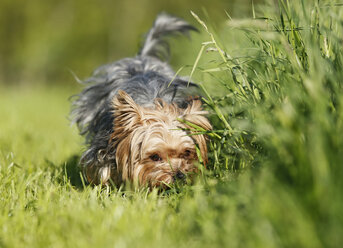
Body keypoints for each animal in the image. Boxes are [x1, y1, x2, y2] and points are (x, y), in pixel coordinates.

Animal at [71, 13, 212, 188]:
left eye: (186, 153)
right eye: (155, 157)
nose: (179, 175)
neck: (153, 105)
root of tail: (141, 57)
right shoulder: (103, 147)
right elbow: (103, 167)